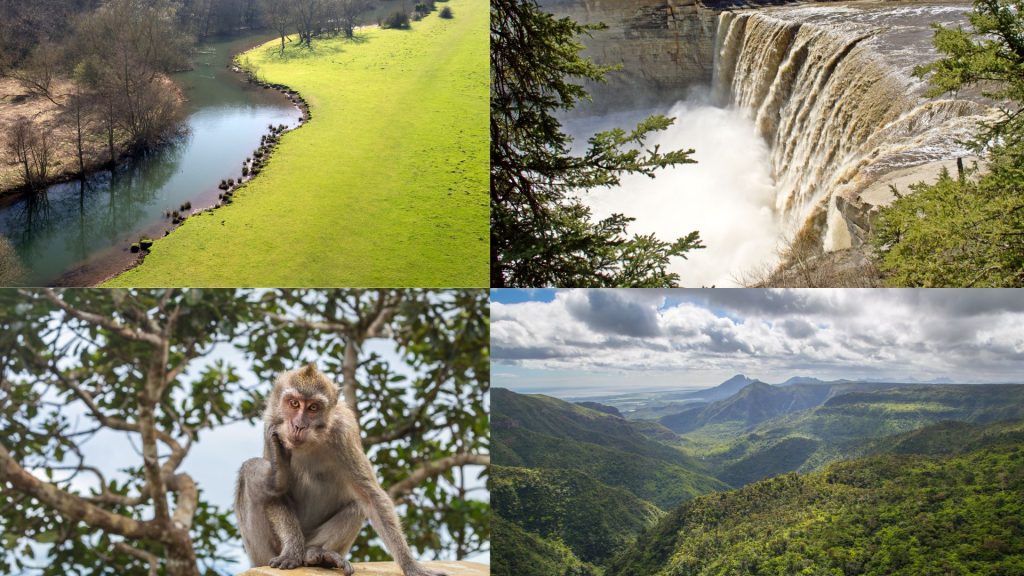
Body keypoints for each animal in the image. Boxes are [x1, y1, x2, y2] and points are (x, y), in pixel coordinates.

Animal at [237, 362, 450, 573]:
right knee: (249, 475)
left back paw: (316, 555)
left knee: (357, 504)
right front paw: (292, 550)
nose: (298, 425)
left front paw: (410, 566)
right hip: (263, 555)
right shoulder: (270, 425)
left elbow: (371, 497)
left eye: (313, 408)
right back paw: (277, 478)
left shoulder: (343, 432)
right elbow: (275, 497)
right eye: (294, 403)